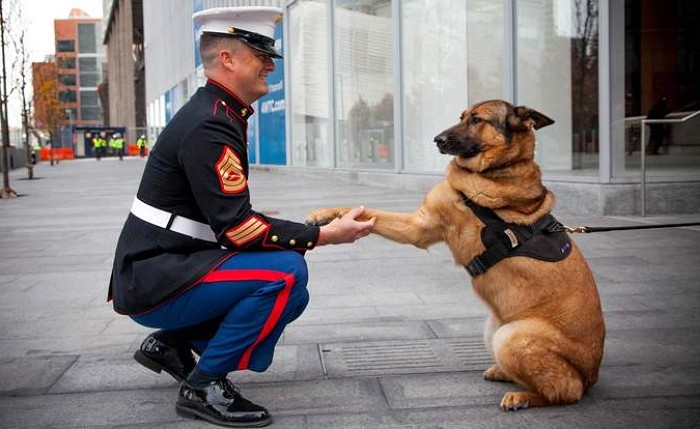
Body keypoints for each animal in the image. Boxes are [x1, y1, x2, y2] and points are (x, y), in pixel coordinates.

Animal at [308, 99, 608, 408]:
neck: (496, 169)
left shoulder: (419, 227)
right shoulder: (418, 225)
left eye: (476, 120)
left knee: (565, 390)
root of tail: (591, 375)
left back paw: (523, 397)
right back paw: (503, 373)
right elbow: (367, 211)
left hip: (511, 337)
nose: (437, 139)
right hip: (493, 330)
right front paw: (326, 214)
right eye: (461, 116)